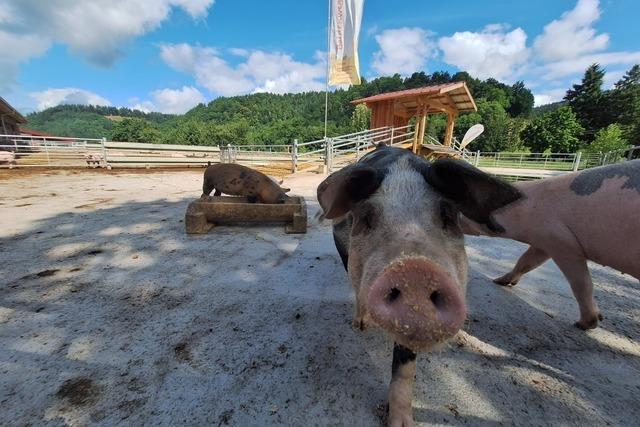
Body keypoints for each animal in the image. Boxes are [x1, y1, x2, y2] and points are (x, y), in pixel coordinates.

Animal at [317, 145, 522, 426]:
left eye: (448, 216)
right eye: (367, 217)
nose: (415, 270)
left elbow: (405, 368)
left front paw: (403, 424)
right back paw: (361, 325)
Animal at [461, 160, 640, 330]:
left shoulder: (562, 243)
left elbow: (582, 284)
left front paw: (583, 325)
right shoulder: (543, 243)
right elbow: (525, 262)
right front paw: (499, 281)